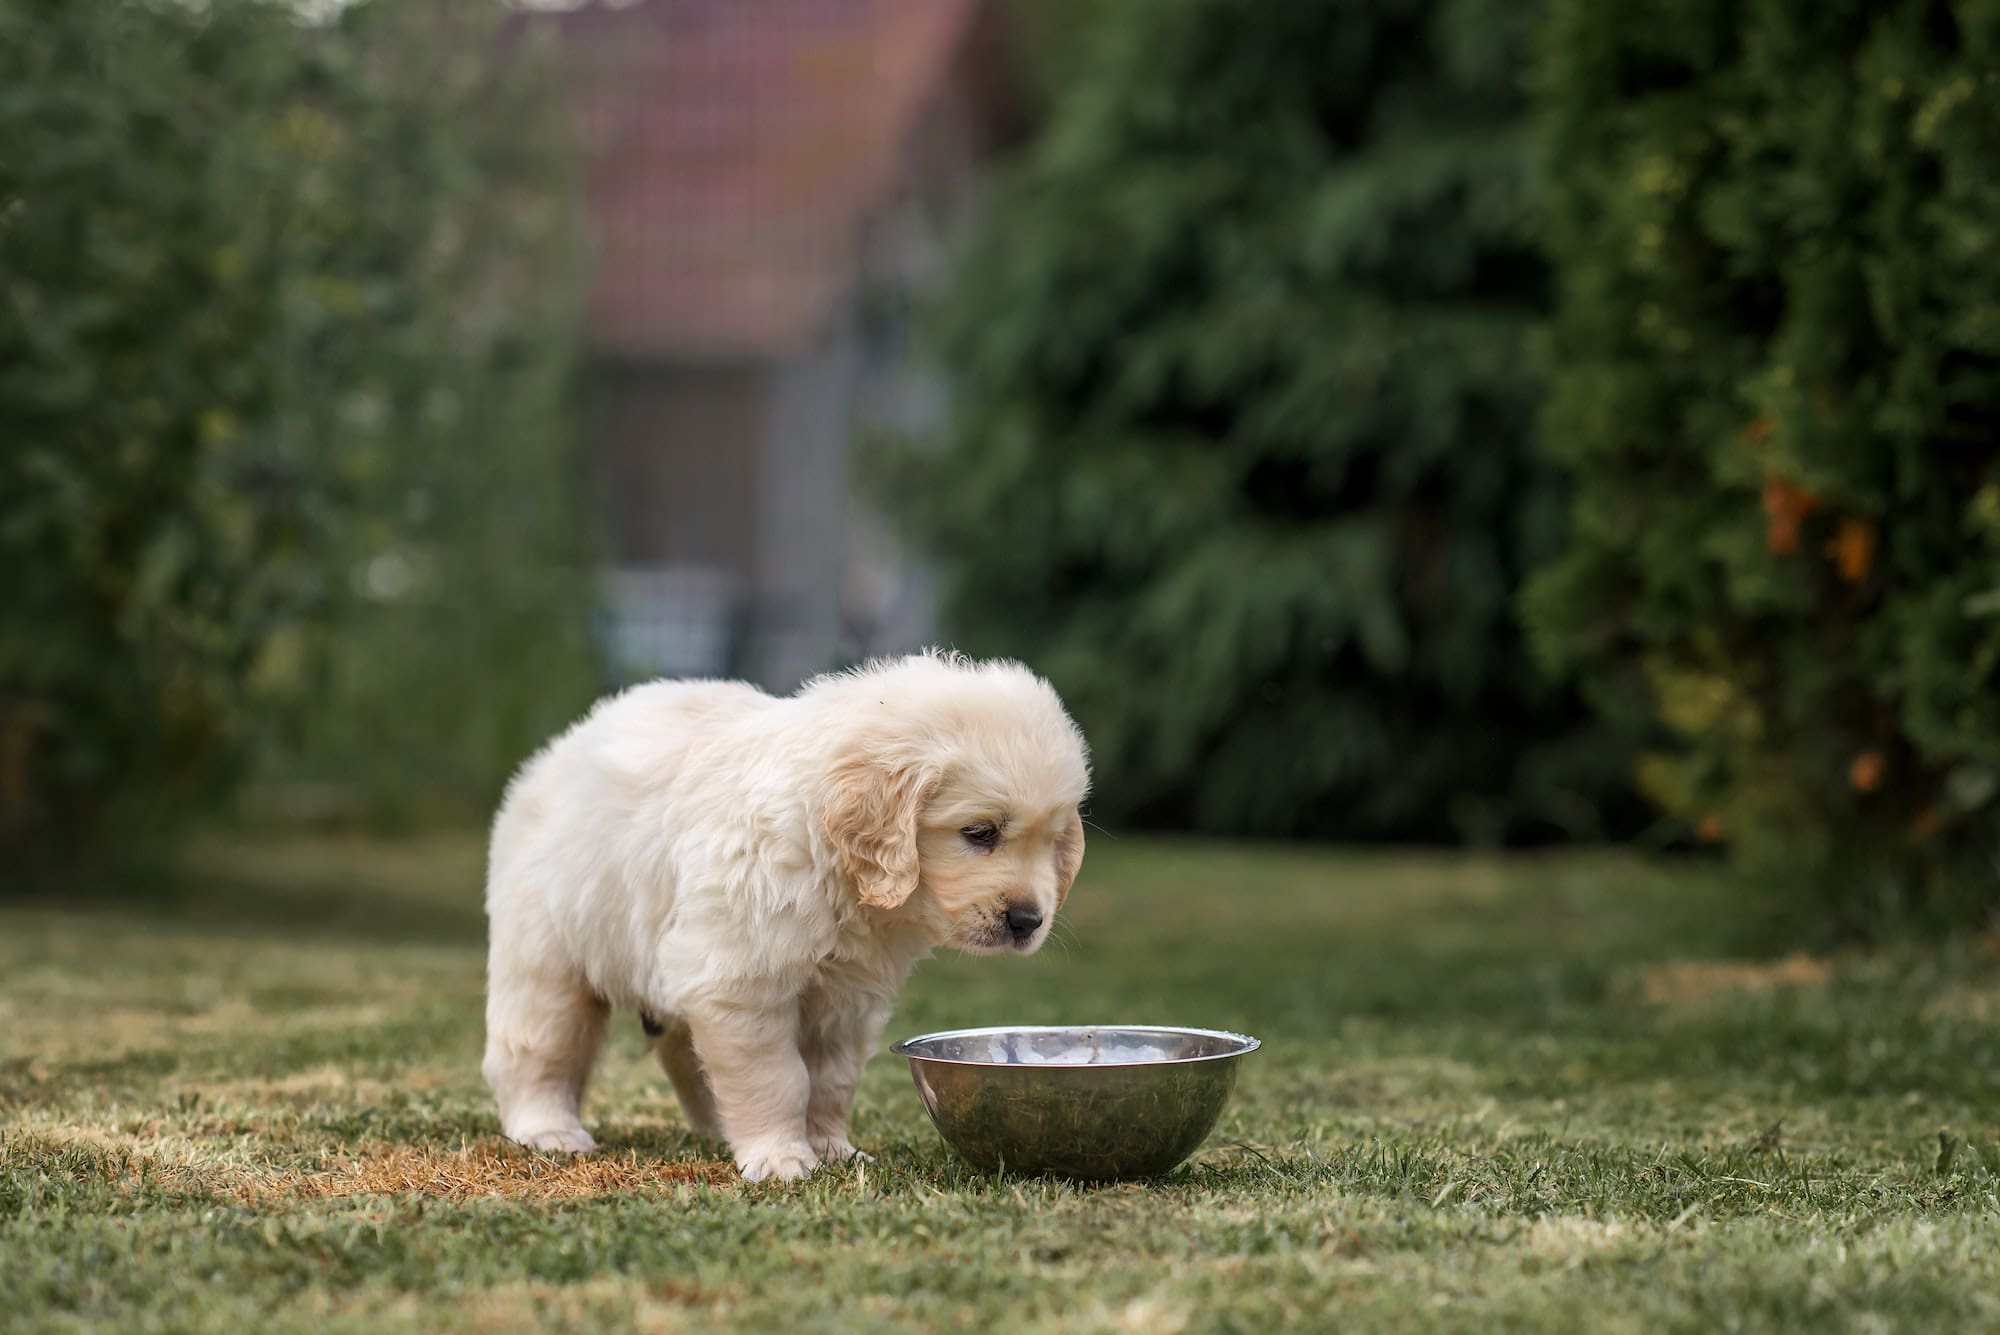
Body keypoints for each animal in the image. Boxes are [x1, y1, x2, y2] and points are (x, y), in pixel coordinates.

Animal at [478, 651, 1088, 1183]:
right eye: (979, 833)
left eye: (1053, 840)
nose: (1028, 920)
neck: (834, 864)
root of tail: (552, 756)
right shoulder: (744, 981)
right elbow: (776, 1079)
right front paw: (781, 1159)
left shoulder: (845, 999)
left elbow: (830, 1082)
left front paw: (831, 1149)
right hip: (549, 958)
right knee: (538, 1050)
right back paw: (549, 1130)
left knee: (682, 1050)